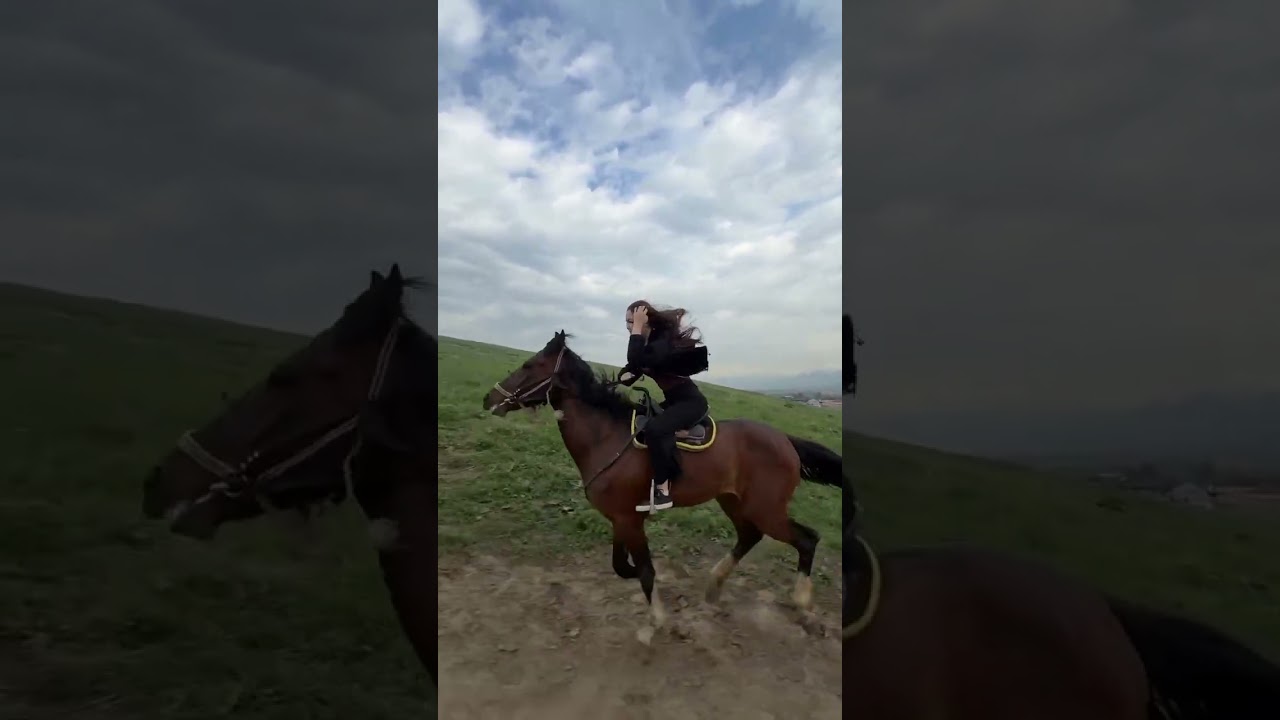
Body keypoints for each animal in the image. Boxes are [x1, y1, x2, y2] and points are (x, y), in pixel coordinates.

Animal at [482, 330, 843, 634]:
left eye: (529, 365)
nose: (489, 399)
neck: (606, 437)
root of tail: (785, 439)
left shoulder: (629, 520)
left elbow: (645, 570)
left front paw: (656, 619)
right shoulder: (622, 518)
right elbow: (622, 565)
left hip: (766, 509)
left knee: (806, 540)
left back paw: (801, 602)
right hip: (733, 501)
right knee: (749, 535)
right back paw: (714, 585)